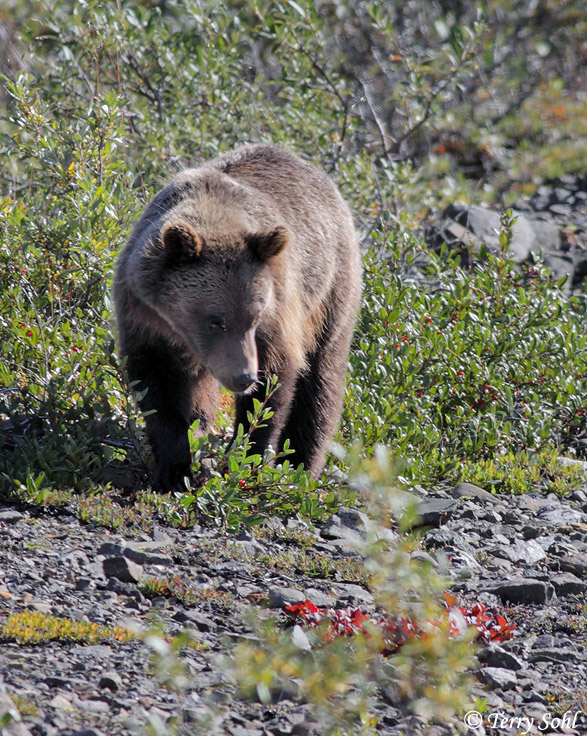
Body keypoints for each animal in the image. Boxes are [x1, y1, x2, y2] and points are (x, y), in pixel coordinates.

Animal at [113, 144, 361, 493]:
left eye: (254, 317)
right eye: (215, 320)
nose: (244, 377)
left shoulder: (277, 313)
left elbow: (272, 387)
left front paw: (249, 460)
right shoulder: (144, 316)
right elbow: (157, 388)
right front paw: (174, 470)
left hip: (331, 291)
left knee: (321, 379)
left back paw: (301, 465)